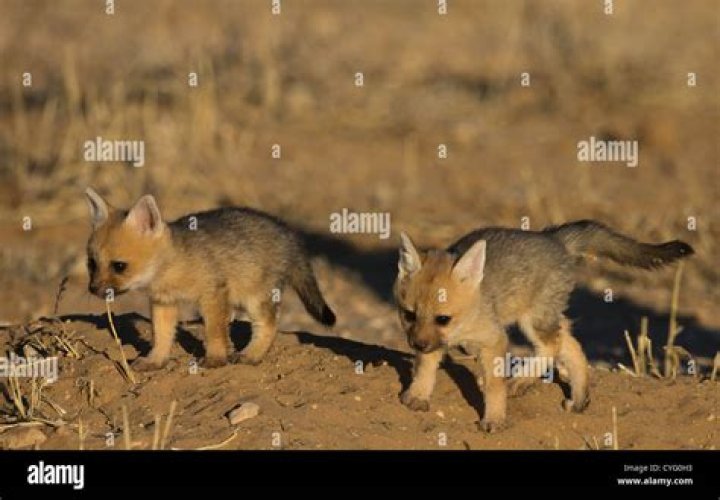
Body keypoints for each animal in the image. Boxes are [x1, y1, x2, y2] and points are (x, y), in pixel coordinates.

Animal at [84, 187, 336, 371]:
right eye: (92, 263)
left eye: (119, 266)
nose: (93, 289)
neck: (175, 263)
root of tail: (288, 232)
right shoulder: (163, 302)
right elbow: (162, 335)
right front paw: (155, 360)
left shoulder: (213, 294)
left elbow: (214, 331)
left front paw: (215, 359)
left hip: (255, 298)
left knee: (269, 324)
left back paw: (250, 355)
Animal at [394, 220, 694, 432]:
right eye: (409, 315)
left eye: (443, 318)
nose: (416, 343)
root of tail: (553, 237)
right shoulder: (434, 340)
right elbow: (426, 367)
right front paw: (418, 395)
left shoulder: (494, 339)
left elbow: (494, 386)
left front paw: (495, 419)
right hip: (547, 318)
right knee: (572, 345)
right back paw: (579, 398)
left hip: (533, 321)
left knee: (553, 345)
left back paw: (522, 380)